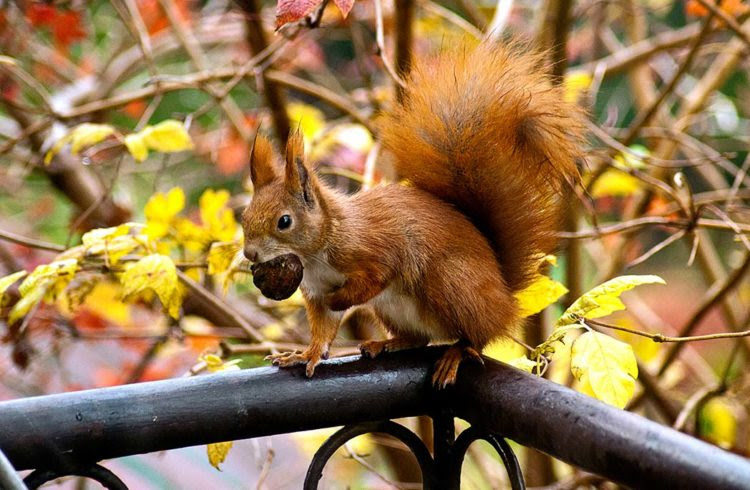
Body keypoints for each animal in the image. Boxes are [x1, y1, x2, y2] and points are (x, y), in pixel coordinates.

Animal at [241, 41, 588, 386]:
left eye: (284, 221)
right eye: (245, 218)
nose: (250, 254)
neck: (319, 250)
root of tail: (503, 296)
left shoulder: (374, 250)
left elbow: (374, 279)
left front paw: (339, 300)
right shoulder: (315, 290)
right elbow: (323, 329)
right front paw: (305, 354)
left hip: (451, 284)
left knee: (477, 336)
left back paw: (457, 353)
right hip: (395, 309)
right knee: (421, 339)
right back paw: (387, 343)